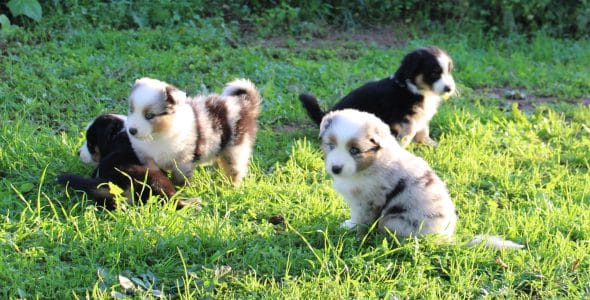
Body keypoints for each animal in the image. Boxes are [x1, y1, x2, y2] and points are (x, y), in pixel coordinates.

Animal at [125, 77, 262, 185]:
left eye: (149, 116)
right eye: (131, 110)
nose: (131, 130)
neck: (157, 135)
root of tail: (244, 104)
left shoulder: (182, 162)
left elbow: (179, 180)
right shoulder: (147, 159)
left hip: (236, 147)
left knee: (235, 169)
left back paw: (231, 187)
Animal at [300, 46, 458, 148]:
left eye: (448, 71)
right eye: (434, 73)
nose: (450, 89)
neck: (413, 88)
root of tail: (324, 115)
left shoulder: (421, 116)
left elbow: (423, 130)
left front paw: (430, 143)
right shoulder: (407, 120)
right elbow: (408, 135)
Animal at [322, 109, 524, 250]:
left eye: (354, 150)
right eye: (331, 146)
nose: (336, 168)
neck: (372, 161)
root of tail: (445, 239)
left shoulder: (368, 201)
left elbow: (361, 219)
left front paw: (355, 233)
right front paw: (348, 225)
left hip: (392, 221)